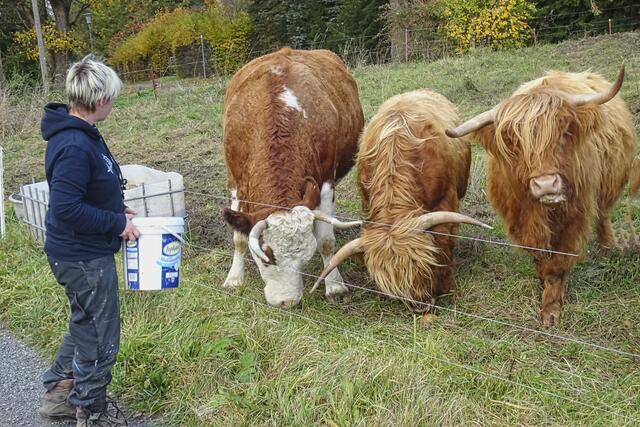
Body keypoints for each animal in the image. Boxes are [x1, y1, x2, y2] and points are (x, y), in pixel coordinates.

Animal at [221, 48, 364, 308]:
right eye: (265, 258)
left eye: (305, 259)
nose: (287, 302)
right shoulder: (235, 182)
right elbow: (239, 237)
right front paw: (234, 278)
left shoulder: (325, 183)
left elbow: (326, 241)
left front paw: (335, 286)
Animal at [445, 65, 637, 327]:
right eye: (512, 141)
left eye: (564, 130)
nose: (546, 185)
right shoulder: (519, 219)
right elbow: (538, 255)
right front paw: (541, 280)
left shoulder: (574, 218)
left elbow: (558, 265)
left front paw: (551, 307)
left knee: (604, 214)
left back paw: (607, 246)